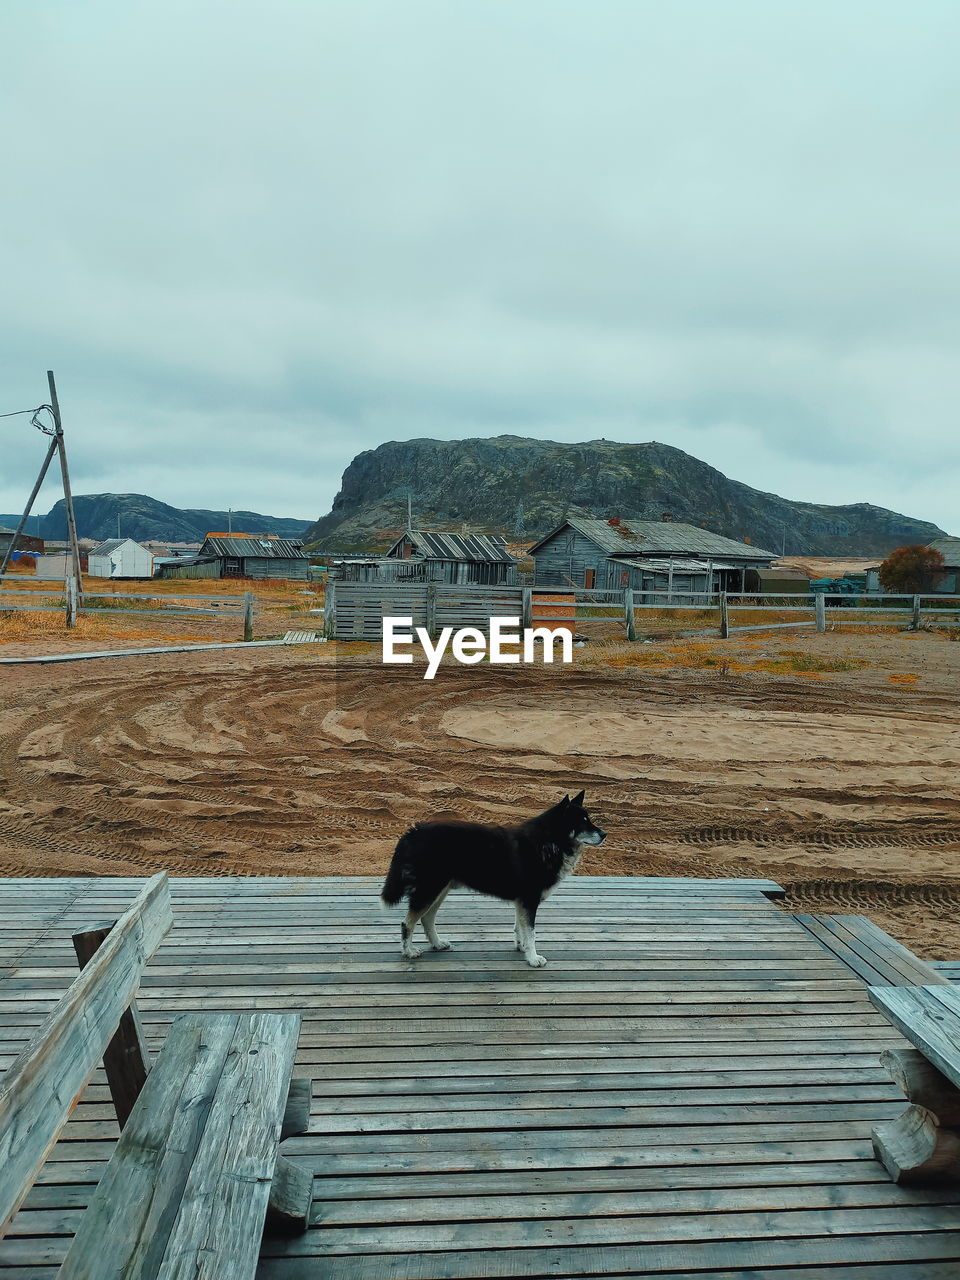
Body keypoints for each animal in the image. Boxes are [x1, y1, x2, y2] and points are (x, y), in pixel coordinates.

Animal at [378, 788, 604, 967]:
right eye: (582, 823)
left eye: (589, 819)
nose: (604, 834)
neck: (549, 841)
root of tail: (413, 831)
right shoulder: (529, 899)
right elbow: (531, 932)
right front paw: (533, 958)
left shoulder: (522, 901)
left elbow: (520, 927)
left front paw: (522, 948)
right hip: (430, 889)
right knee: (407, 923)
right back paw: (408, 952)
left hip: (439, 890)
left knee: (426, 918)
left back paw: (437, 943)